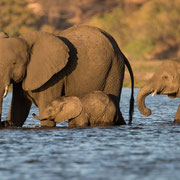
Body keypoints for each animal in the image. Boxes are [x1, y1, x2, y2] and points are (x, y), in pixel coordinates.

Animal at [0, 24, 134, 127]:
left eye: (14, 63)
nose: (4, 123)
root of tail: (120, 50)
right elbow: (18, 108)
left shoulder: (54, 77)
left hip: (114, 69)